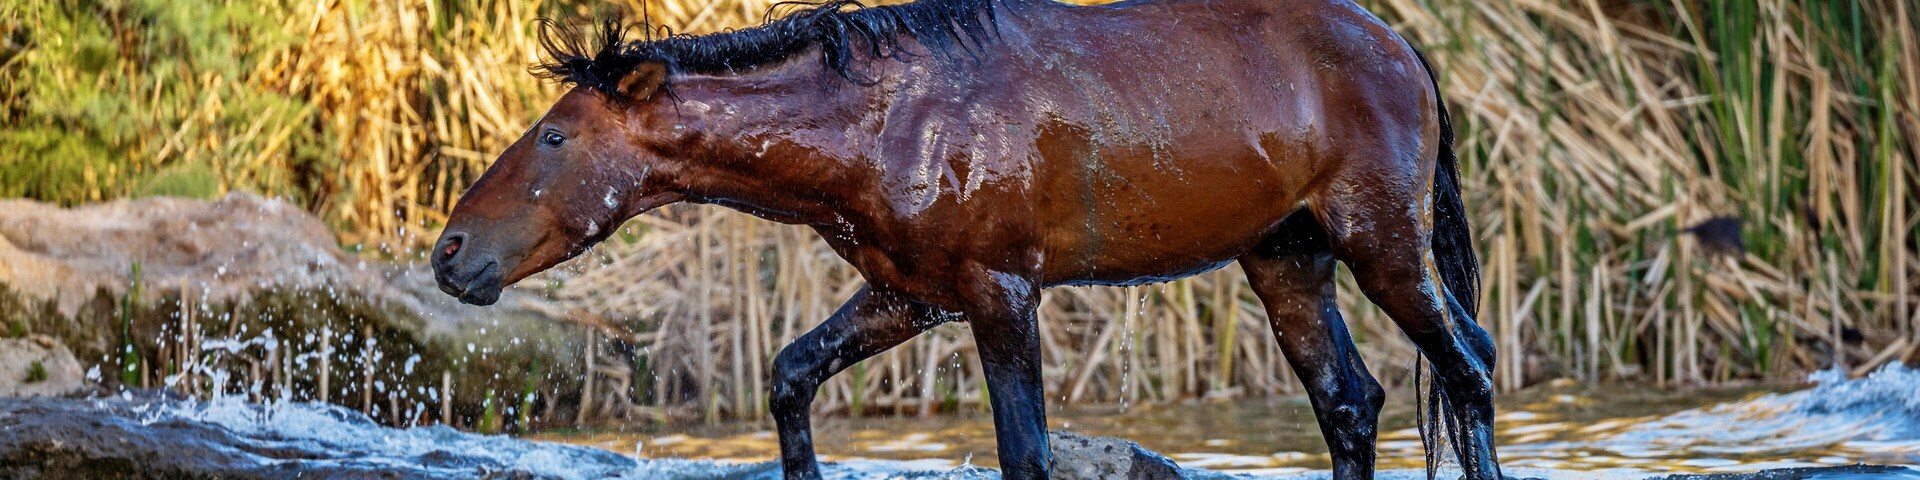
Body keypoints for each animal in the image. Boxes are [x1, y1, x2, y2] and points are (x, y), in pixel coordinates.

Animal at [429, 0, 1501, 478]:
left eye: (555, 136)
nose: (449, 254)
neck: (880, 120)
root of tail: (1401, 47)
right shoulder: (911, 293)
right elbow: (790, 376)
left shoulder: (1000, 293)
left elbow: (1024, 452)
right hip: (1288, 258)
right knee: (1350, 404)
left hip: (1383, 246)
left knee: (1471, 369)